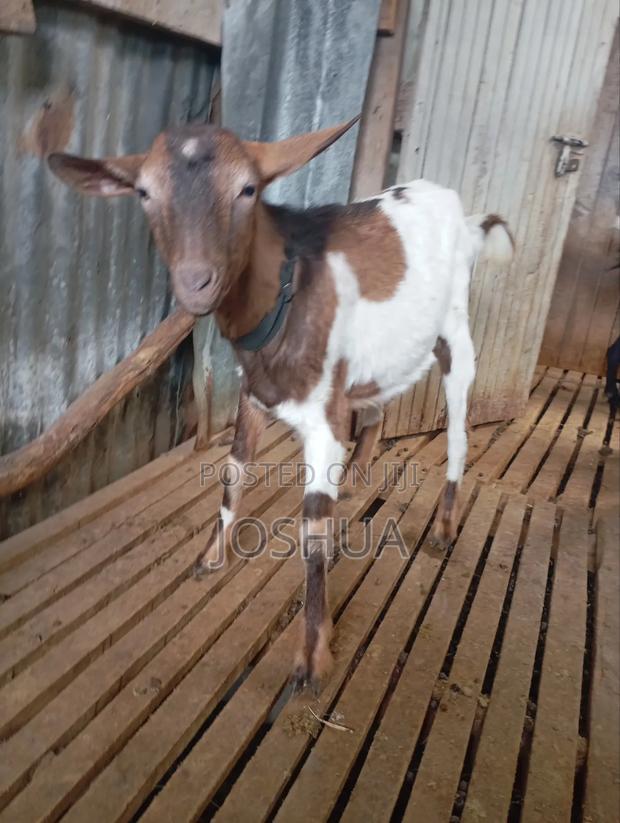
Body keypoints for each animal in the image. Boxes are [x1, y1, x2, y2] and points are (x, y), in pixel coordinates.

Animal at [48, 119, 514, 691]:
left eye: (248, 189)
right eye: (144, 192)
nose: (196, 283)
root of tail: (459, 211)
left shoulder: (323, 422)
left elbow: (313, 530)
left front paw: (312, 656)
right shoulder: (253, 393)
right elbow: (233, 472)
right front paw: (211, 556)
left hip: (456, 335)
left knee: (457, 431)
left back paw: (446, 525)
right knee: (377, 403)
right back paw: (359, 475)